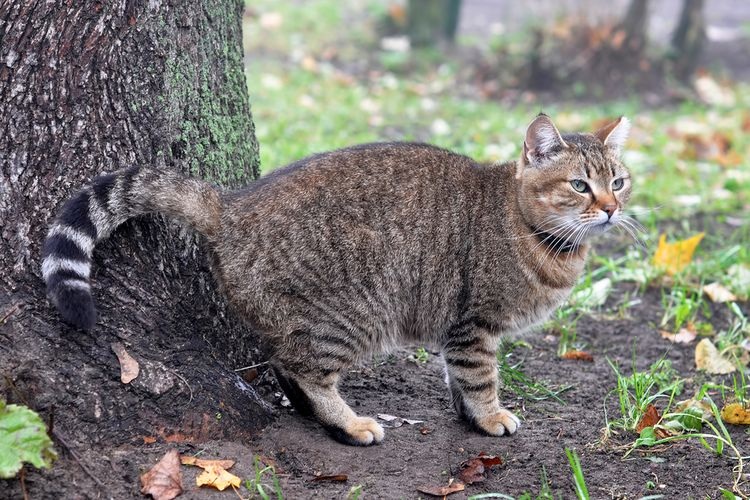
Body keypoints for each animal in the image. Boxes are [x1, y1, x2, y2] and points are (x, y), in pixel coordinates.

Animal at [41, 114, 632, 446]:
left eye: (619, 181)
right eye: (580, 185)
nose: (610, 208)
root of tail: (229, 206)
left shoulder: (458, 329)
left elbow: (456, 377)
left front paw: (468, 415)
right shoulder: (474, 323)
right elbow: (479, 376)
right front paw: (488, 417)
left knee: (284, 362)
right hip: (346, 317)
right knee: (307, 372)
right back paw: (348, 423)